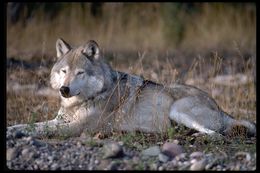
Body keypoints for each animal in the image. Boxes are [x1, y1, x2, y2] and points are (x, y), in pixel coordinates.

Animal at [6, 38, 256, 139]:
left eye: (80, 73)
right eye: (64, 71)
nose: (64, 90)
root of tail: (220, 108)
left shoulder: (77, 128)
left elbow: (40, 130)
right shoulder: (60, 120)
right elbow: (29, 125)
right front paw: (12, 130)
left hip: (178, 110)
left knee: (217, 134)